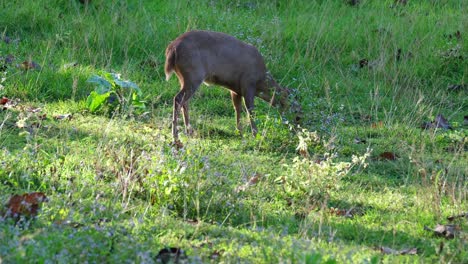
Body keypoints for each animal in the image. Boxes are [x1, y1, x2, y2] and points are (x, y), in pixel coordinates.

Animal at [165, 31, 304, 145]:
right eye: (298, 116)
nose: (299, 132)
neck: (261, 81)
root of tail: (172, 49)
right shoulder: (248, 84)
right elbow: (250, 111)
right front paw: (255, 134)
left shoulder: (235, 90)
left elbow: (237, 108)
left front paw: (240, 132)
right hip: (193, 74)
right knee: (178, 99)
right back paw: (175, 136)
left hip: (184, 77)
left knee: (185, 101)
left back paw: (189, 131)